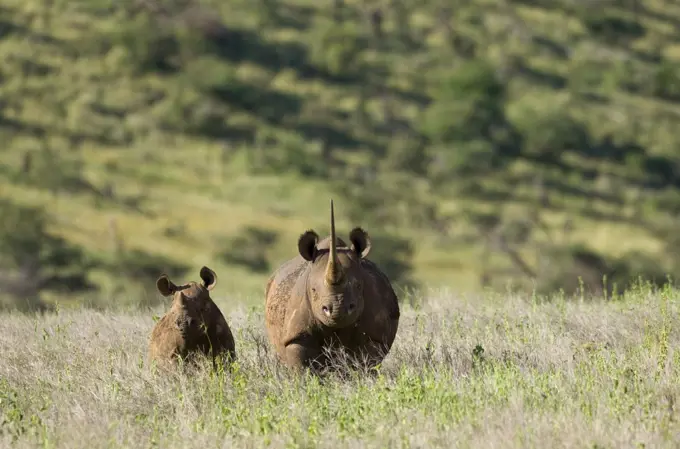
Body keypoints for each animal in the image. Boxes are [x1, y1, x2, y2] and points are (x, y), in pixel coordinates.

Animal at [262, 200, 398, 372]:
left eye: (359, 286)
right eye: (313, 290)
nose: (337, 309)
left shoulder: (374, 336)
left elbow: (365, 364)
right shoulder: (296, 336)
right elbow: (301, 367)